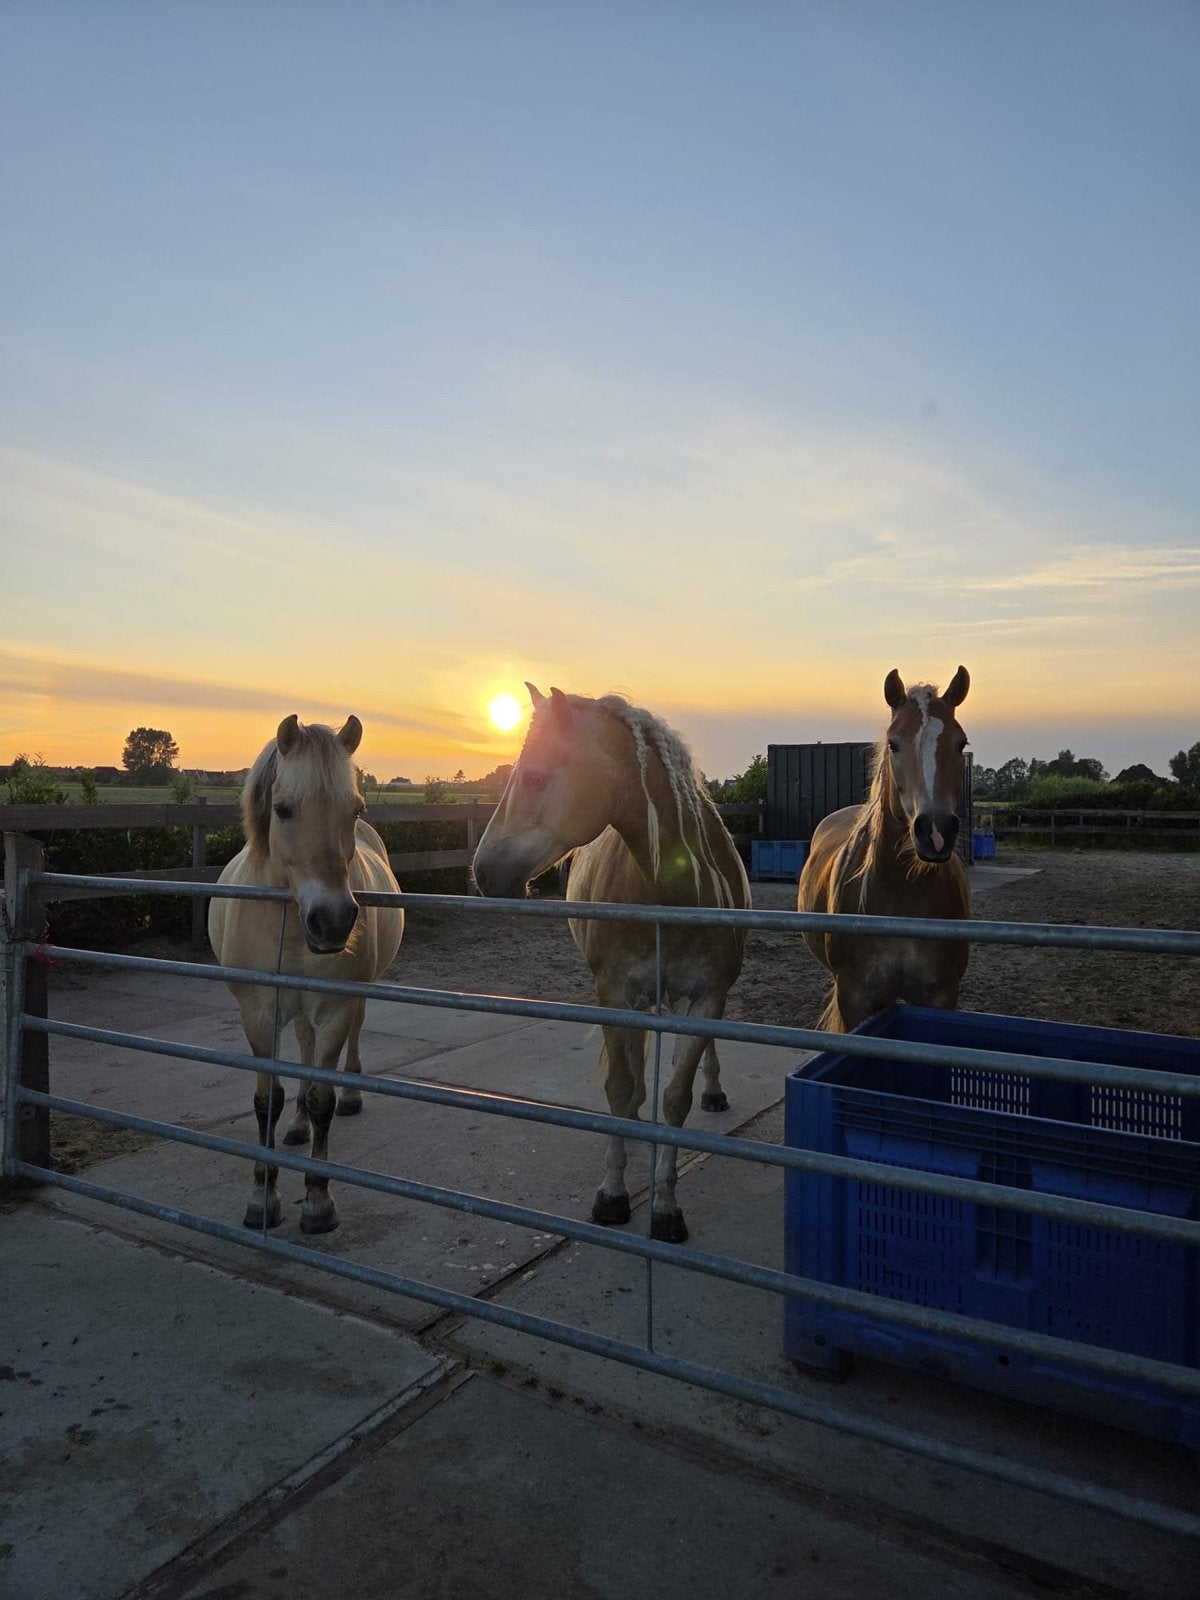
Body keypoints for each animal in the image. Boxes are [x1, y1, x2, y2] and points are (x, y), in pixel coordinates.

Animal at [208, 714, 403, 1234]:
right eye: (283, 810)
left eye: (354, 809)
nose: (332, 921)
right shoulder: (258, 1014)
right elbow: (268, 1100)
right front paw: (263, 1195)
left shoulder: (334, 1009)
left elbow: (322, 1100)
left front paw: (317, 1201)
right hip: (294, 1011)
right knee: (302, 1045)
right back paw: (295, 1127)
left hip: (353, 998)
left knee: (349, 1039)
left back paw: (350, 1093)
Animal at [472, 685, 750, 1242]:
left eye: (534, 777)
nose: (482, 872)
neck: (674, 894)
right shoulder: (615, 993)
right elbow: (619, 1089)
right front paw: (613, 1194)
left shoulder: (706, 998)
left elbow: (677, 1097)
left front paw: (665, 1207)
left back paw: (713, 1091)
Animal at [797, 666, 972, 1033]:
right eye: (894, 743)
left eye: (961, 742)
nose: (936, 830)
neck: (900, 898)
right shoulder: (854, 997)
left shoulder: (942, 995)